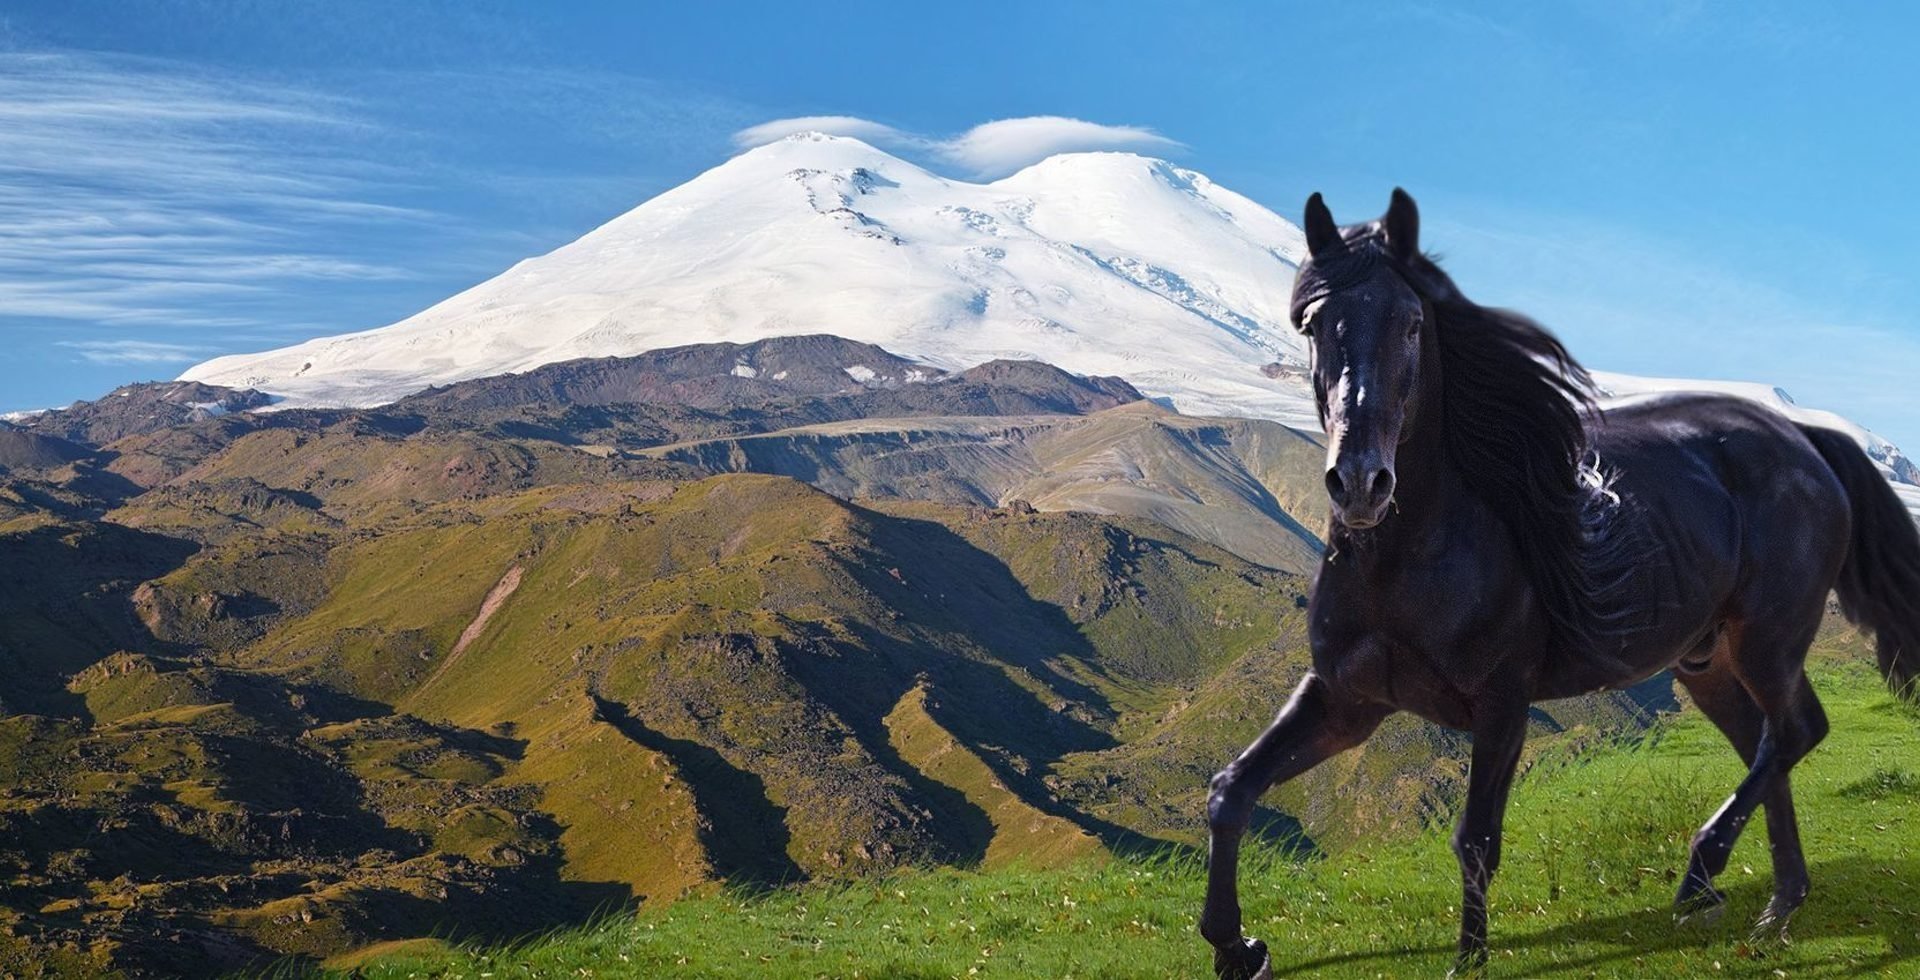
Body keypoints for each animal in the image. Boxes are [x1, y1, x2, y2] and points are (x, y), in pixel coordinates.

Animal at [1198, 187, 1920, 976]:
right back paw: (1776, 906)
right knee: (1770, 739)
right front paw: (1238, 947)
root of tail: (1805, 440)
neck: (1411, 559)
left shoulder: (1503, 701)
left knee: (1794, 730)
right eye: (1313, 324)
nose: (1359, 482)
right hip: (1708, 662)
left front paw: (1468, 961)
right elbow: (1231, 790)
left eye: (1412, 323)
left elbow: (1475, 839)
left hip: (1768, 639)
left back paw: (1704, 874)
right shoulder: (1345, 699)